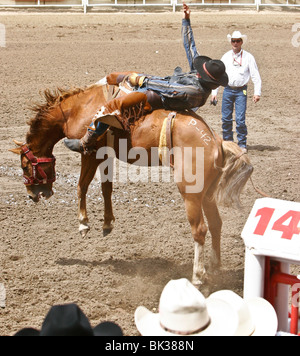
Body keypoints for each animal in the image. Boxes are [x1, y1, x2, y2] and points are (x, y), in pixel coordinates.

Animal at [9, 81, 253, 286]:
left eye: (24, 166)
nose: (32, 194)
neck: (78, 109)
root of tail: (215, 141)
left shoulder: (91, 152)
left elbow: (82, 185)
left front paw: (83, 224)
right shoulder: (105, 154)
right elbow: (106, 187)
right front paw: (107, 223)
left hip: (190, 193)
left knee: (200, 229)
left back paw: (198, 276)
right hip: (208, 192)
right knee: (216, 224)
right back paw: (215, 267)